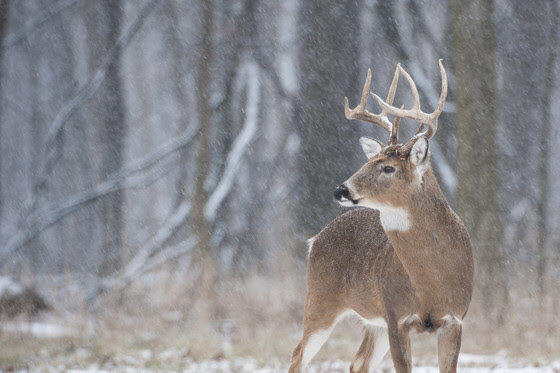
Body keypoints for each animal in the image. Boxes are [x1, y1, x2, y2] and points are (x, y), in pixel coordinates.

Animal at [290, 61, 474, 372]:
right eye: (368, 161)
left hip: (370, 322)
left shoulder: (455, 319)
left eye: (388, 168)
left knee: (357, 363)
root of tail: (315, 239)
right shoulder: (395, 316)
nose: (341, 189)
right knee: (297, 355)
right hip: (320, 298)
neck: (431, 283)